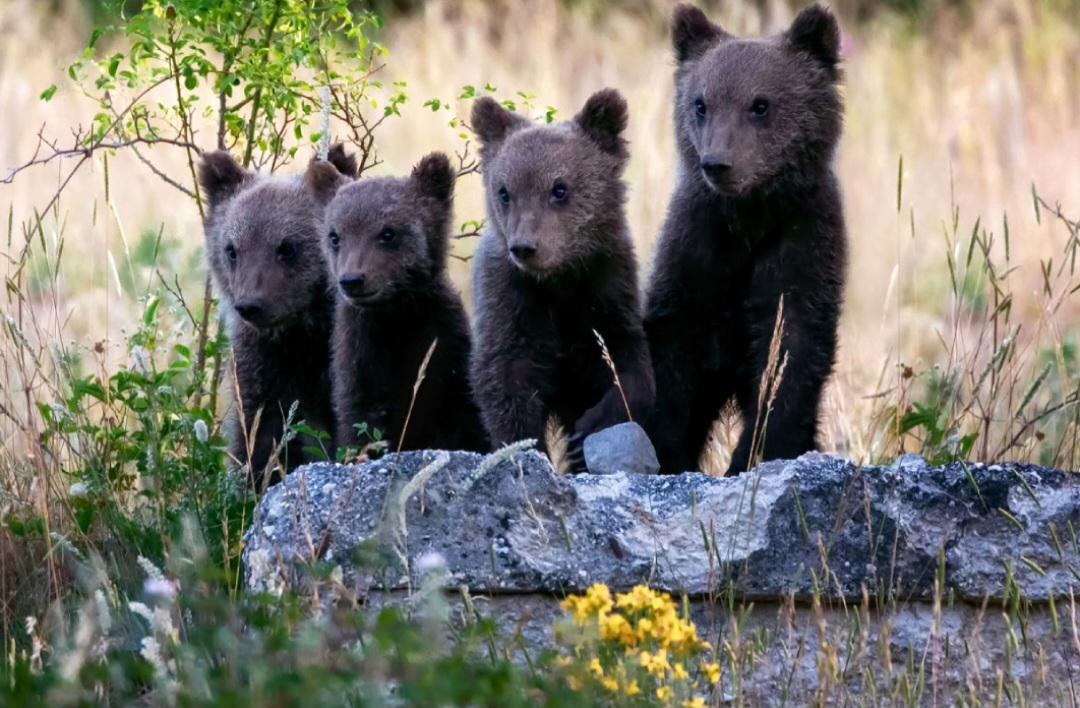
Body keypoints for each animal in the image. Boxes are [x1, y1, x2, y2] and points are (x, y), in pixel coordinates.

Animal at [324, 152, 489, 454]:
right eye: (334, 236)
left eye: (388, 233)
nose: (352, 279)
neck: (396, 317)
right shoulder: (361, 358)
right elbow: (361, 422)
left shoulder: (444, 348)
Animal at [469, 88, 655, 471]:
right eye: (504, 191)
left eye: (559, 189)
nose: (525, 247)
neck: (559, 279)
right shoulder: (510, 300)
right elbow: (505, 379)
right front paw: (527, 448)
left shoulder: (608, 288)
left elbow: (630, 366)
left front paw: (587, 430)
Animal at [644, 4, 848, 476]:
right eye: (701, 103)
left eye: (760, 104)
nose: (718, 163)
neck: (749, 218)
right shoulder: (699, 248)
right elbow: (674, 350)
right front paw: (669, 452)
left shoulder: (801, 243)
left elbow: (788, 354)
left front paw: (753, 454)